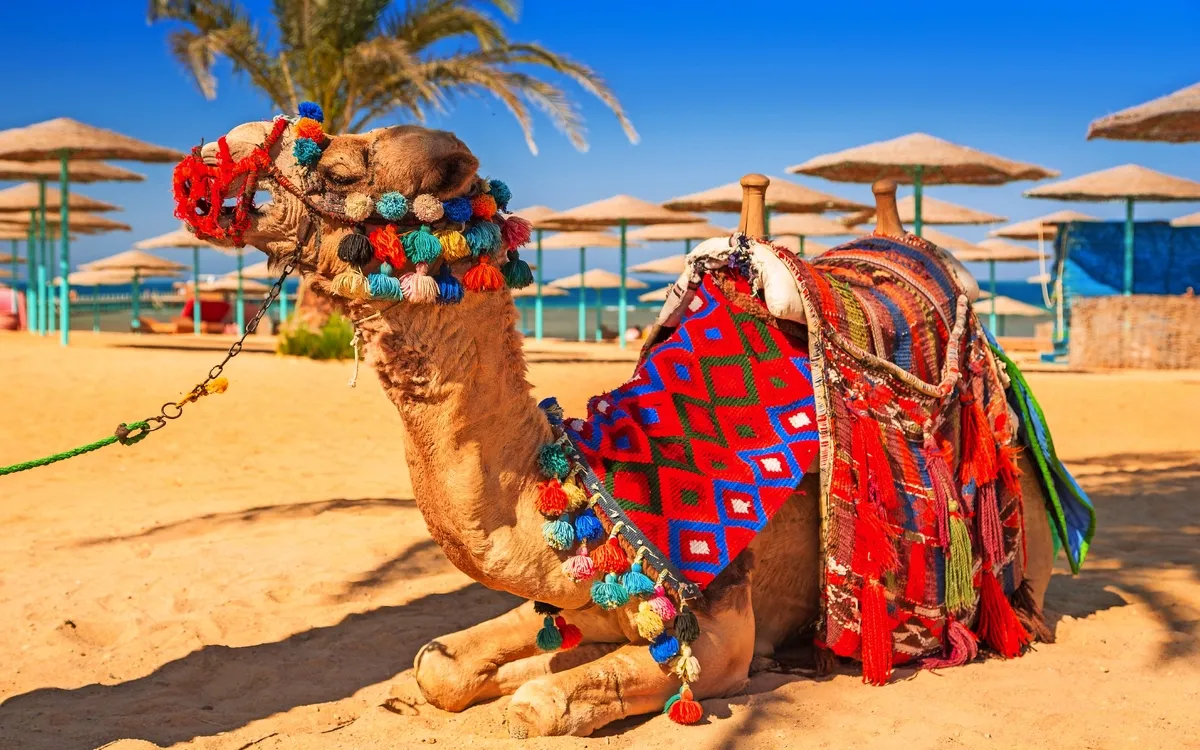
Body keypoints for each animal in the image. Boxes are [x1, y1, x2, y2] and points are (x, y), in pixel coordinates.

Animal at [182, 117, 1057, 738]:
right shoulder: (572, 592)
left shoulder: (724, 630)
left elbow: (541, 703)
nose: (218, 159)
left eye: (337, 169)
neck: (603, 483)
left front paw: (537, 685)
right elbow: (440, 666)